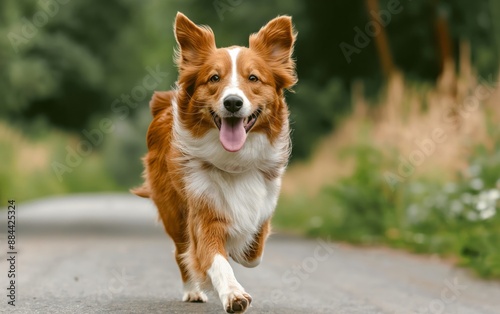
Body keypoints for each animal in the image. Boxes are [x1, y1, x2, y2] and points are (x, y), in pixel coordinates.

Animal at [133, 11, 296, 312]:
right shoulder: (203, 211)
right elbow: (215, 258)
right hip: (173, 211)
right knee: (181, 251)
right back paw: (193, 290)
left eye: (253, 78)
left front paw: (241, 250)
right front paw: (233, 293)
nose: (232, 102)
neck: (234, 160)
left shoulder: (264, 204)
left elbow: (253, 252)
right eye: (214, 78)